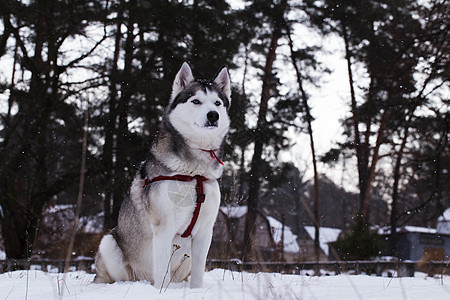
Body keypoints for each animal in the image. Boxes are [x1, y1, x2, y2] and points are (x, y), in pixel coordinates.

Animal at [93, 62, 230, 288]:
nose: (213, 115)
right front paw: (160, 292)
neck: (194, 173)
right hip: (109, 243)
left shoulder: (205, 230)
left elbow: (199, 272)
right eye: (196, 101)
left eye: (217, 103)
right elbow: (162, 269)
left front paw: (196, 290)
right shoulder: (164, 227)